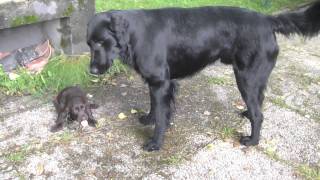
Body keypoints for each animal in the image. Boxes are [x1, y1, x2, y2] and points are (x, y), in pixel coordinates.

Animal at [87, 2, 320, 151]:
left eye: (101, 42)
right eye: (89, 44)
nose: (92, 71)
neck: (135, 35)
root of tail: (267, 19)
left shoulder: (160, 83)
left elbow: (162, 116)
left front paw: (155, 143)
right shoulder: (158, 83)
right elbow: (155, 106)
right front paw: (148, 118)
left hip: (246, 78)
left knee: (259, 114)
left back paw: (252, 141)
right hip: (254, 78)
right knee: (258, 104)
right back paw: (246, 113)